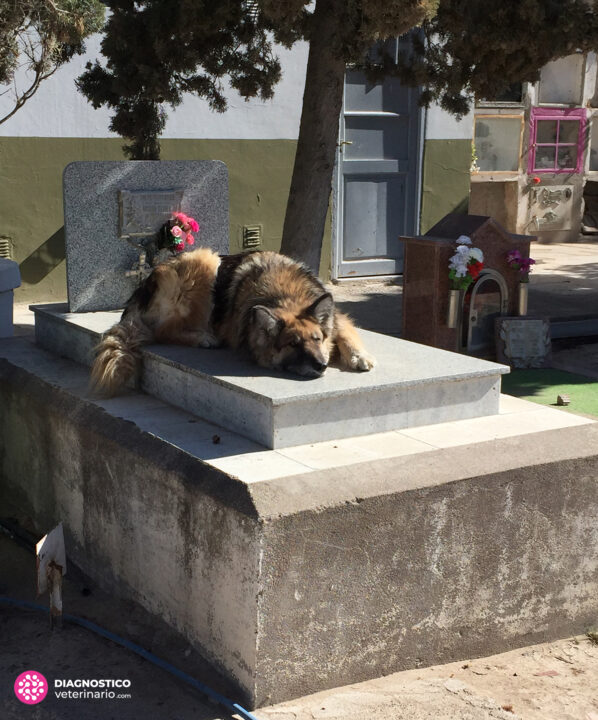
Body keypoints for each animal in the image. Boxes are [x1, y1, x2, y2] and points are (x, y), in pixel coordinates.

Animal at [90, 248, 376, 394]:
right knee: (162, 330)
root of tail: (143, 285)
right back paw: (204, 338)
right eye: (292, 345)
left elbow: (345, 331)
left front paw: (359, 356)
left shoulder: (337, 318)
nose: (321, 365)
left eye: (317, 339)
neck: (285, 296)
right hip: (205, 266)